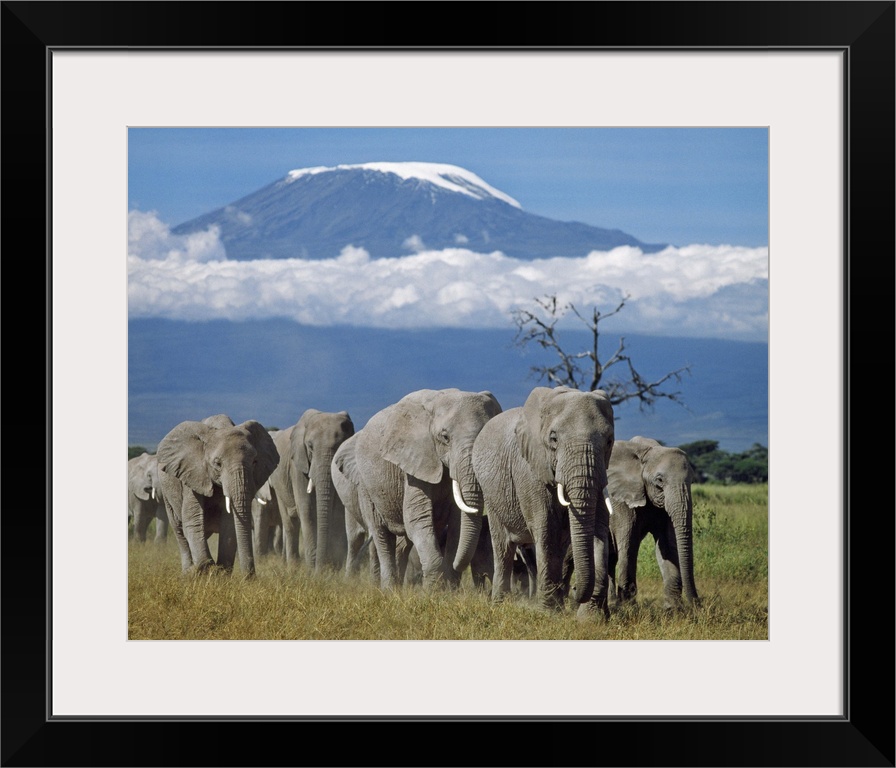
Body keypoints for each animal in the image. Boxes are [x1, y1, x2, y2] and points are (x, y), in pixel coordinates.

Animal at [156, 414, 278, 576]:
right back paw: (188, 572)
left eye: (254, 461)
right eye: (217, 464)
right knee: (179, 530)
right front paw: (206, 569)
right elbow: (192, 519)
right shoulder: (193, 474)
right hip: (166, 491)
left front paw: (220, 573)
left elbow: (229, 525)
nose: (250, 577)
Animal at [266, 408, 354, 568]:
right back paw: (293, 567)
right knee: (290, 523)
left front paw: (334, 567)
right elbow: (307, 509)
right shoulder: (297, 465)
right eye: (310, 447)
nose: (321, 568)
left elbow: (338, 511)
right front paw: (313, 567)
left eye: (340, 446)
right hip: (279, 483)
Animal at [352, 388, 504, 592]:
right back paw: (389, 590)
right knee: (381, 535)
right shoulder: (415, 460)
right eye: (445, 437)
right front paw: (433, 591)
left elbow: (457, 523)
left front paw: (449, 590)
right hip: (365, 484)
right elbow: (417, 518)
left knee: (403, 542)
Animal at [468, 384, 616, 616]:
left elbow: (599, 527)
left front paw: (592, 618)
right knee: (503, 546)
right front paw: (549, 613)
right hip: (491, 494)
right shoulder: (530, 469)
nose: (575, 590)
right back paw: (500, 603)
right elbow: (546, 527)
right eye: (554, 439)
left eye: (609, 441)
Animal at [604, 438, 704, 608]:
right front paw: (628, 607)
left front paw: (673, 608)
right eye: (659, 480)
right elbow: (628, 543)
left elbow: (667, 545)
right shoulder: (619, 500)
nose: (698, 603)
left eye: (692, 480)